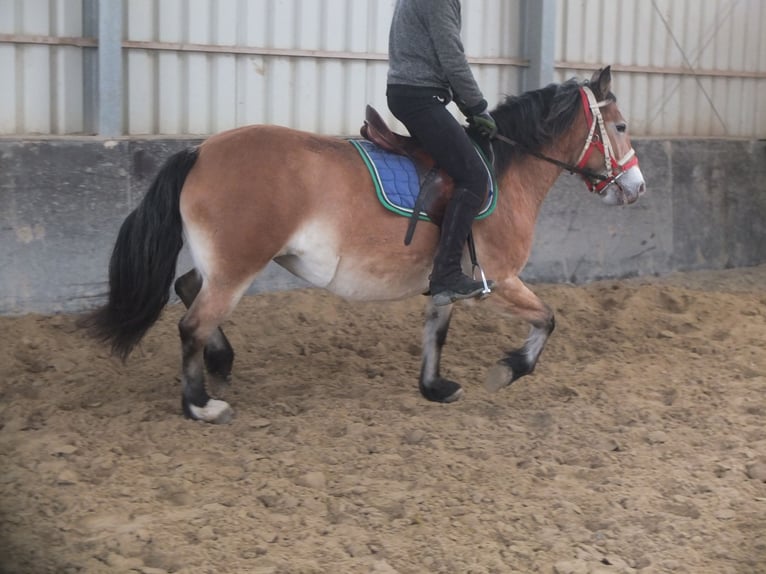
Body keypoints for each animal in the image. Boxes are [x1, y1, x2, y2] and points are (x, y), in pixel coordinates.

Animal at [82, 68, 648, 428]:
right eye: (620, 126)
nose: (637, 187)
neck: (503, 172)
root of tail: (199, 151)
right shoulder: (501, 279)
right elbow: (548, 320)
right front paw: (507, 370)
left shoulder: (447, 283)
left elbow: (436, 333)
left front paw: (434, 388)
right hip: (237, 266)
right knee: (191, 323)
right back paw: (201, 405)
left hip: (221, 264)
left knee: (186, 287)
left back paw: (221, 362)